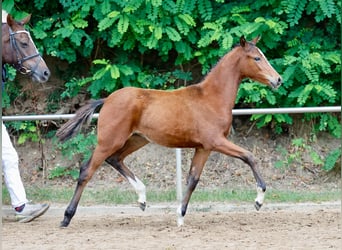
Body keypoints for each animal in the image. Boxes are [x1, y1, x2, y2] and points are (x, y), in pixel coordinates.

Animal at [57, 36, 282, 228]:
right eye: (257, 58)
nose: (278, 79)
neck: (211, 98)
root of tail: (107, 99)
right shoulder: (216, 142)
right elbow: (249, 156)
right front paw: (259, 200)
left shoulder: (203, 148)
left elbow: (192, 180)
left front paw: (180, 217)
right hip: (109, 141)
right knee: (87, 170)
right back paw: (66, 217)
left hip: (137, 140)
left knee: (115, 159)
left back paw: (142, 199)